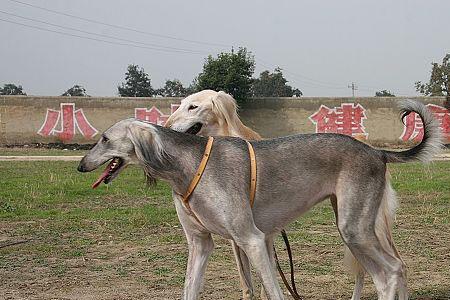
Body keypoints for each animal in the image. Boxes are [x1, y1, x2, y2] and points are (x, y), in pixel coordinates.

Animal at [78, 101, 442, 300]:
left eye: (105, 139)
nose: (81, 165)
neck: (189, 163)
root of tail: (376, 151)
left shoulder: (252, 239)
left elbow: (274, 290)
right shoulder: (201, 244)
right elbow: (190, 289)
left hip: (355, 229)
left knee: (391, 271)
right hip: (355, 227)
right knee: (392, 271)